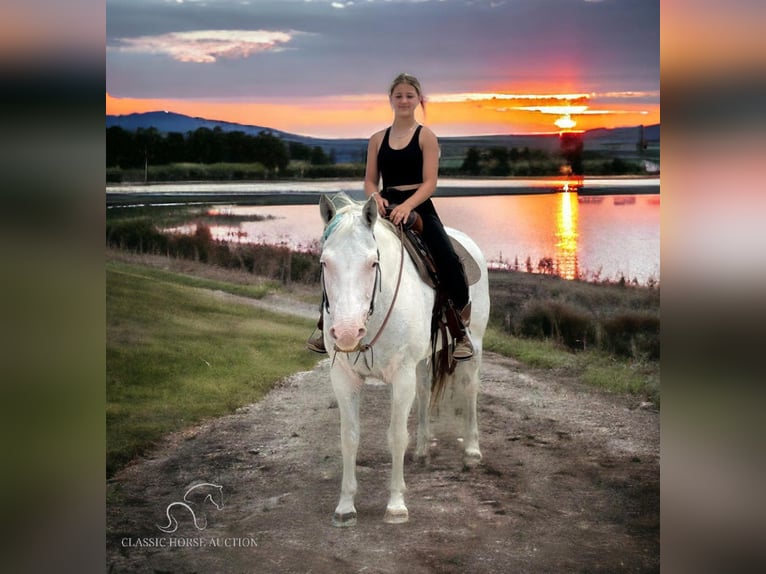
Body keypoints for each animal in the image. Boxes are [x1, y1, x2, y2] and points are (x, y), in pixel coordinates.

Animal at [320, 191, 492, 528]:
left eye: (373, 262)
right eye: (324, 262)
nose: (347, 332)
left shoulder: (400, 376)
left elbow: (397, 436)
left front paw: (396, 505)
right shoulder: (344, 377)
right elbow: (349, 438)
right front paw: (345, 506)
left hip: (473, 346)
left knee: (470, 391)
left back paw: (472, 452)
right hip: (422, 362)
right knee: (425, 393)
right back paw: (423, 450)